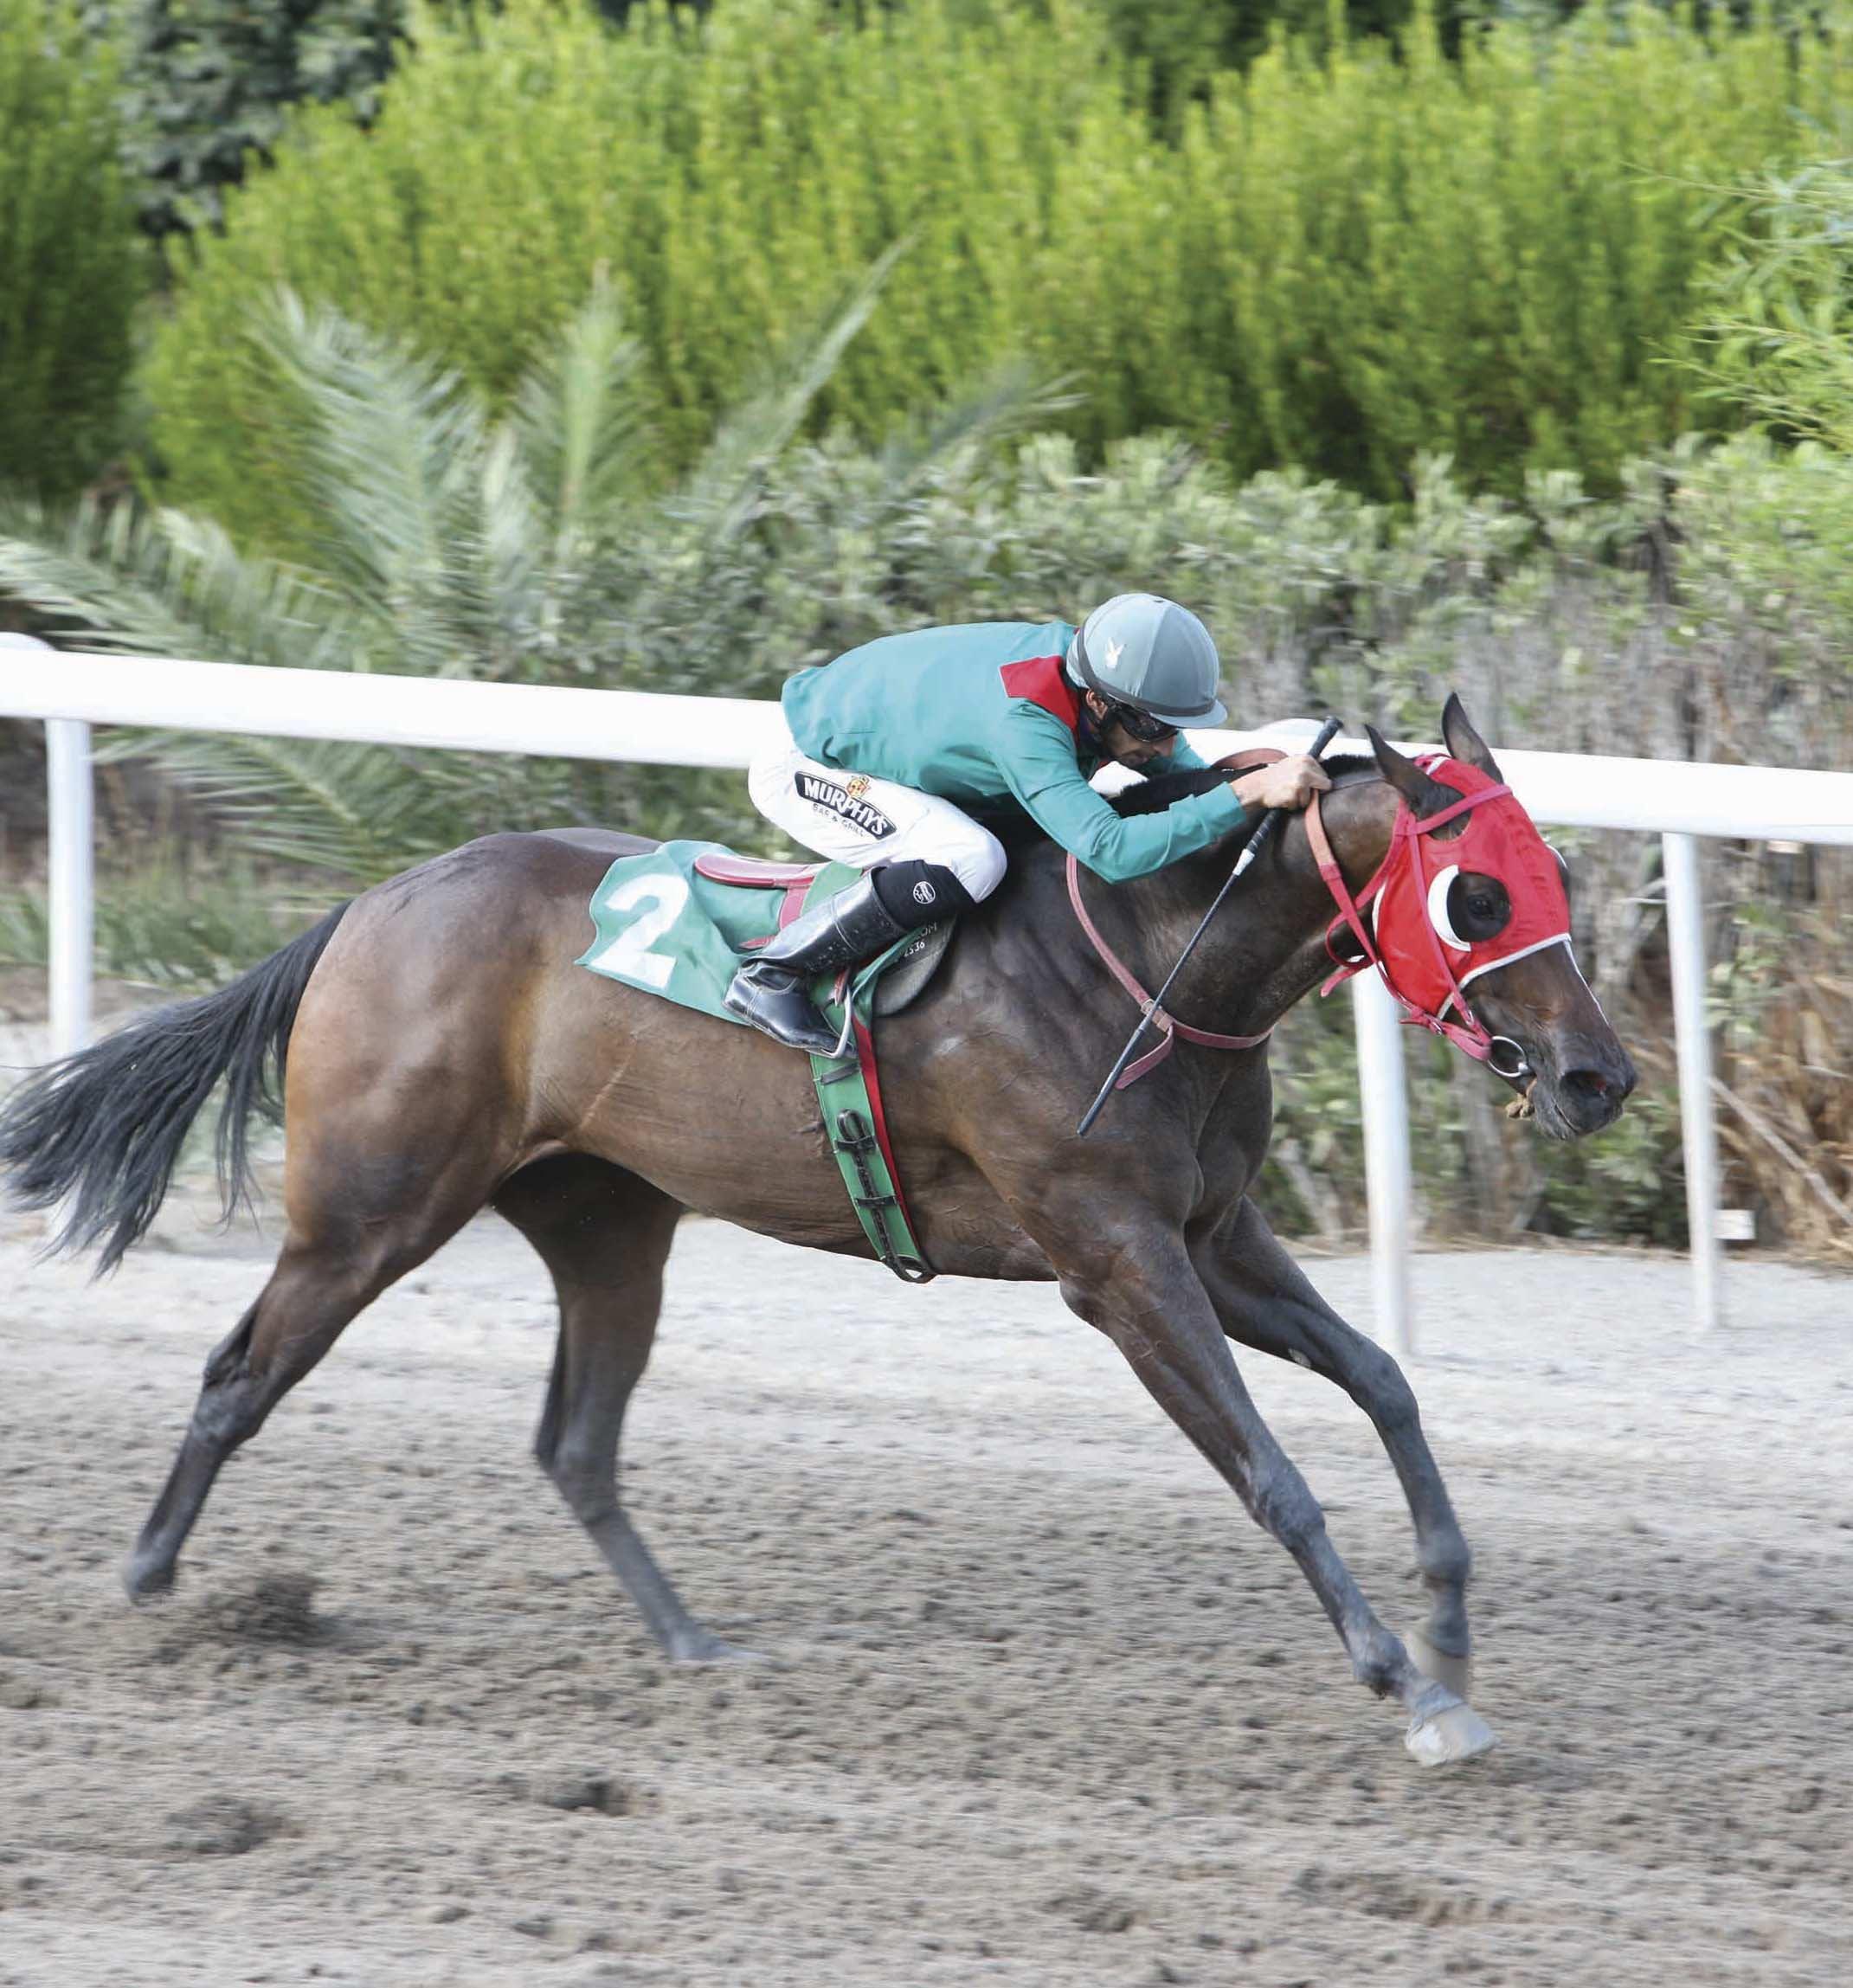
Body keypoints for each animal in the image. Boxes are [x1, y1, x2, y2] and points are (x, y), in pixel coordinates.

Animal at [0, 697, 1634, 1766]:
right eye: (1477, 895)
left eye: (1552, 874)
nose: (1598, 1076)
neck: (1153, 961)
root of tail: (366, 908)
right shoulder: (1114, 1261)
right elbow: (1274, 1476)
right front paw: (1407, 1683)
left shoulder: (1214, 1237)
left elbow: (1386, 1384)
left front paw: (1451, 1623)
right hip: (372, 1210)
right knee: (239, 1377)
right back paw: (149, 1585)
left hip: (607, 1223)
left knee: (575, 1443)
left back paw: (690, 1641)